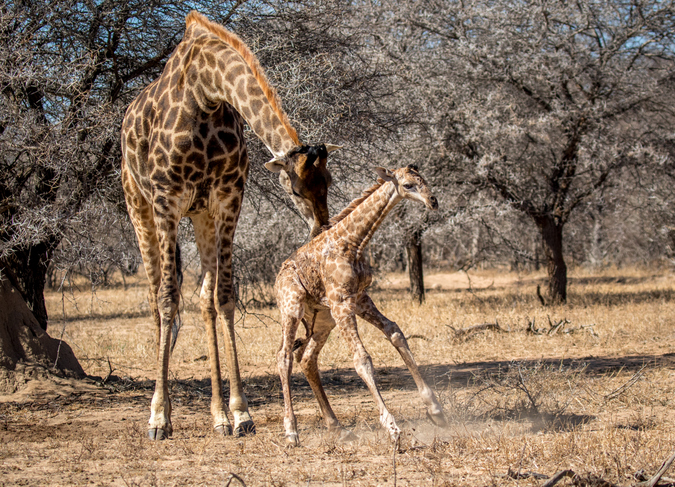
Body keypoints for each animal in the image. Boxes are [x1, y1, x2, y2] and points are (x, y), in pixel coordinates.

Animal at [120, 11, 338, 440]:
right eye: (296, 189)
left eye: (329, 183)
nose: (320, 228)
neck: (206, 90)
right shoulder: (166, 200)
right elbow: (169, 298)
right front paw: (159, 418)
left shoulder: (226, 198)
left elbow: (223, 296)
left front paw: (240, 413)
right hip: (139, 205)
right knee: (156, 296)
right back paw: (162, 408)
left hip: (200, 216)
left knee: (204, 299)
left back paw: (218, 414)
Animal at [274, 167, 448, 446]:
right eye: (408, 185)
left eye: (424, 180)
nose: (433, 201)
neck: (353, 242)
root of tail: (277, 279)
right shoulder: (341, 301)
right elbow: (362, 358)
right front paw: (392, 428)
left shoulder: (359, 298)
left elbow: (395, 332)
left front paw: (436, 410)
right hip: (292, 308)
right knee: (284, 356)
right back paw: (291, 432)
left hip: (322, 320)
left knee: (308, 359)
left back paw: (338, 428)